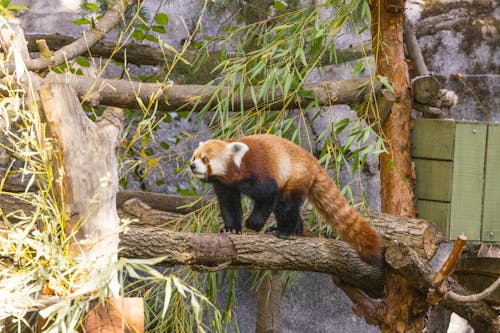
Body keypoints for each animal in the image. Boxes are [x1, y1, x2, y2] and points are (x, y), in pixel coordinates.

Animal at [189, 134, 384, 266]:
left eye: (205, 159)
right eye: (194, 157)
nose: (192, 166)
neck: (236, 168)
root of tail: (313, 161)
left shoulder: (258, 171)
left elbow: (268, 195)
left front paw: (253, 224)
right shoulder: (225, 184)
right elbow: (229, 204)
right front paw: (231, 229)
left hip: (295, 176)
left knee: (286, 205)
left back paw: (285, 231)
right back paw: (294, 230)